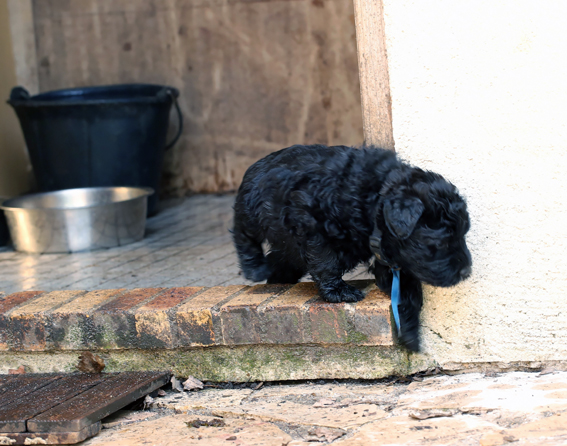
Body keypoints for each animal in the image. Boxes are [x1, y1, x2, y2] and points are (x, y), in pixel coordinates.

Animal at [233, 145, 472, 350]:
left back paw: (278, 280)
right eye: (441, 242)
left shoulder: (392, 259)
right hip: (252, 210)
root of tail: (256, 164)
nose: (466, 272)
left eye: (463, 234)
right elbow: (326, 262)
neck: (374, 199)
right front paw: (339, 291)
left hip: (285, 244)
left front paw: (410, 334)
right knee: (242, 232)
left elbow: (405, 291)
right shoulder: (313, 228)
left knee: (280, 260)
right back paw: (254, 268)